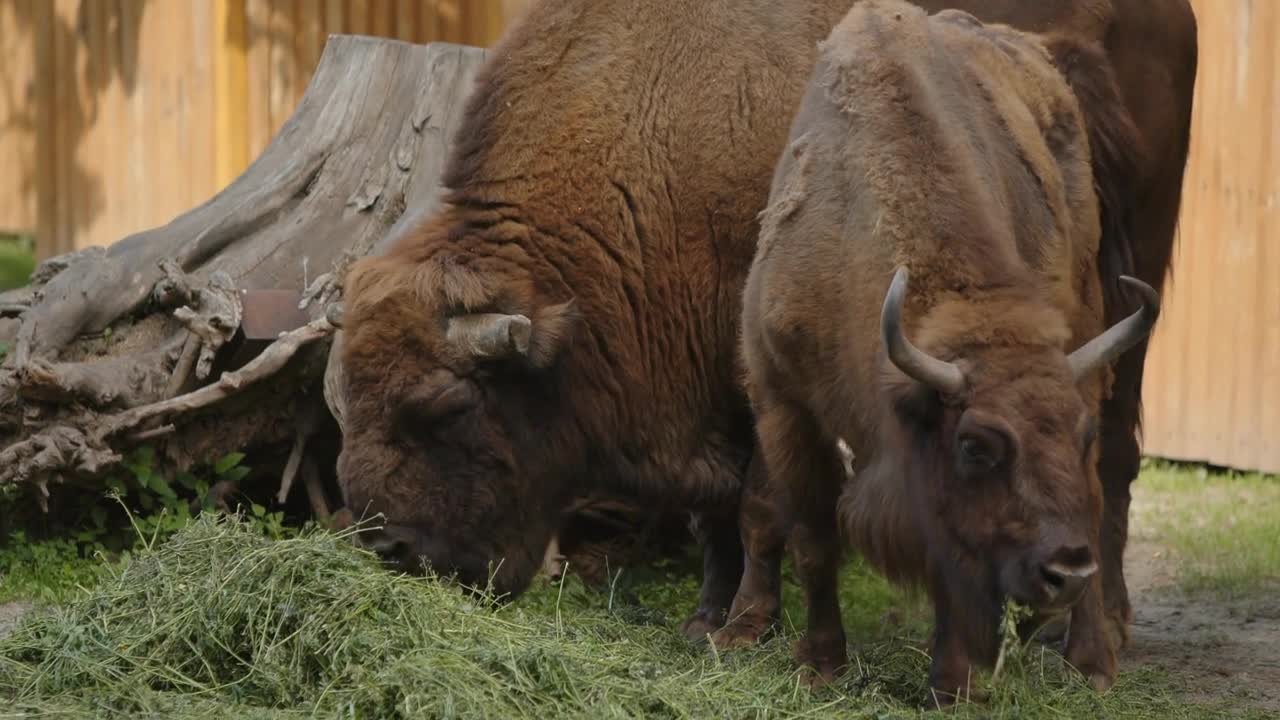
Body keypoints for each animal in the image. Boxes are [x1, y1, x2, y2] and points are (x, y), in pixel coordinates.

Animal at [737, 0, 1167, 696]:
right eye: (975, 446)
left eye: (1078, 436)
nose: (1067, 572)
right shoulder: (783, 403)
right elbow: (814, 535)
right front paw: (821, 664)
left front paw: (955, 679)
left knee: (1098, 496)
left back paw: (1091, 661)